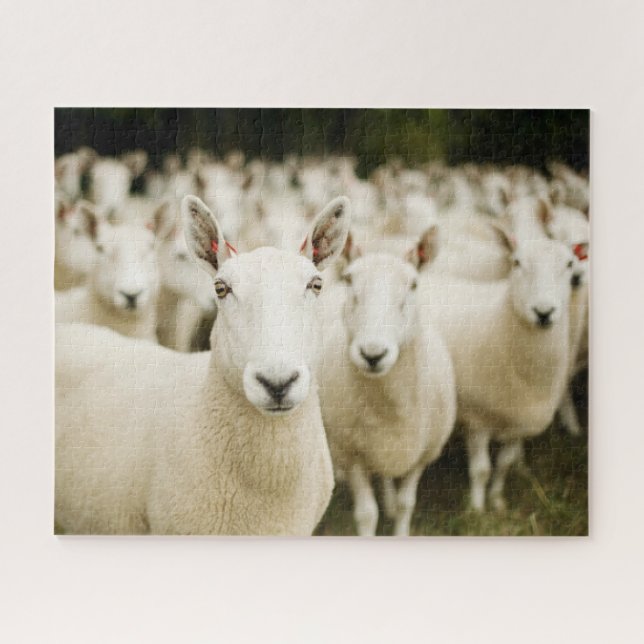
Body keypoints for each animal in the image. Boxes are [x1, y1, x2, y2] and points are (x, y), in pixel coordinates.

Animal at [318, 226, 456, 536]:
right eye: (349, 280)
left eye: (414, 284)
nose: (372, 354)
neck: (391, 405)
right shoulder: (352, 454)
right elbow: (367, 513)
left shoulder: (422, 453)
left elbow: (407, 504)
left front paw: (399, 521)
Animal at [421, 232, 577, 512]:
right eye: (516, 263)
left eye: (569, 264)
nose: (543, 312)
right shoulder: (476, 419)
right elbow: (481, 470)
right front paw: (477, 509)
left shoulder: (519, 421)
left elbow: (504, 463)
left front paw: (497, 501)